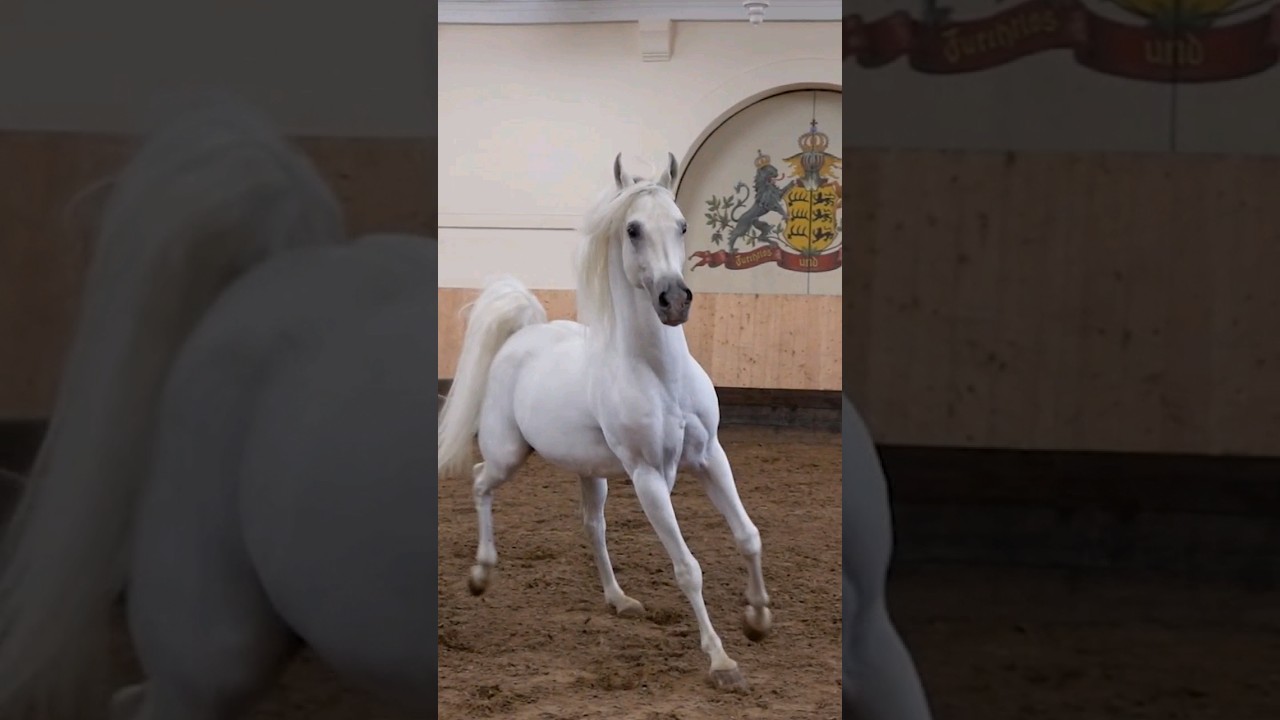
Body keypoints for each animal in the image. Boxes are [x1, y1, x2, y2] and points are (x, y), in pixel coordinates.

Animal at [436, 152, 773, 692]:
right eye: (633, 229)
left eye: (681, 224)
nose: (674, 300)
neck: (660, 376)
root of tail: (523, 335)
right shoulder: (649, 477)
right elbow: (687, 568)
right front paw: (722, 661)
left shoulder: (709, 457)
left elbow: (748, 535)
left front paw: (758, 619)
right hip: (509, 454)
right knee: (479, 480)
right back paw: (481, 574)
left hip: (591, 472)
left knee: (593, 525)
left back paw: (619, 600)